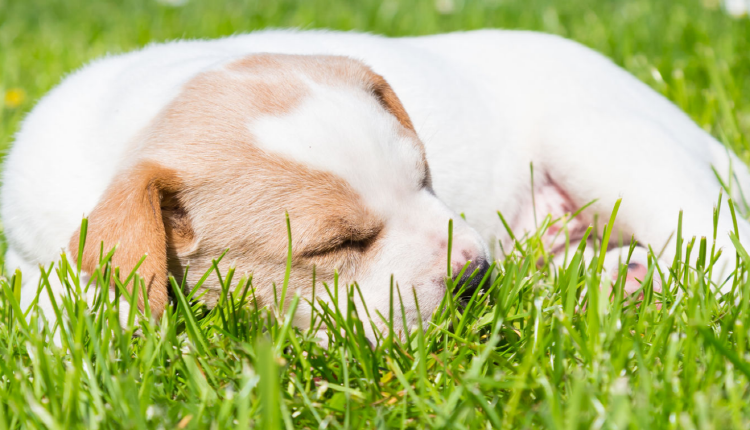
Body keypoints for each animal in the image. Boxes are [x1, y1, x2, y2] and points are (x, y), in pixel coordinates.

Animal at [2, 29, 748, 340]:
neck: (134, 122)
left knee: (719, 253)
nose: (477, 277)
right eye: (336, 246)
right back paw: (616, 280)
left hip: (606, 140)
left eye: (427, 182)